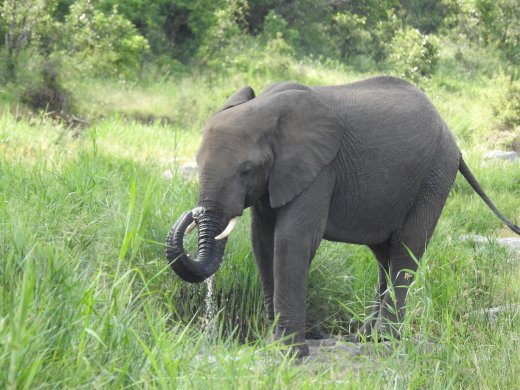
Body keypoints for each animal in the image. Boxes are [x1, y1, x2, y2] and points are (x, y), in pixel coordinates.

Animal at [167, 76, 520, 356]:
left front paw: (291, 354)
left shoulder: (320, 170)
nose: (192, 215)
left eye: (246, 169)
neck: (267, 107)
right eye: (197, 162)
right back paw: (365, 338)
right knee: (384, 256)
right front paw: (273, 345)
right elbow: (262, 242)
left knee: (405, 250)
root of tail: (450, 134)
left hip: (434, 175)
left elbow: (292, 241)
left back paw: (385, 340)